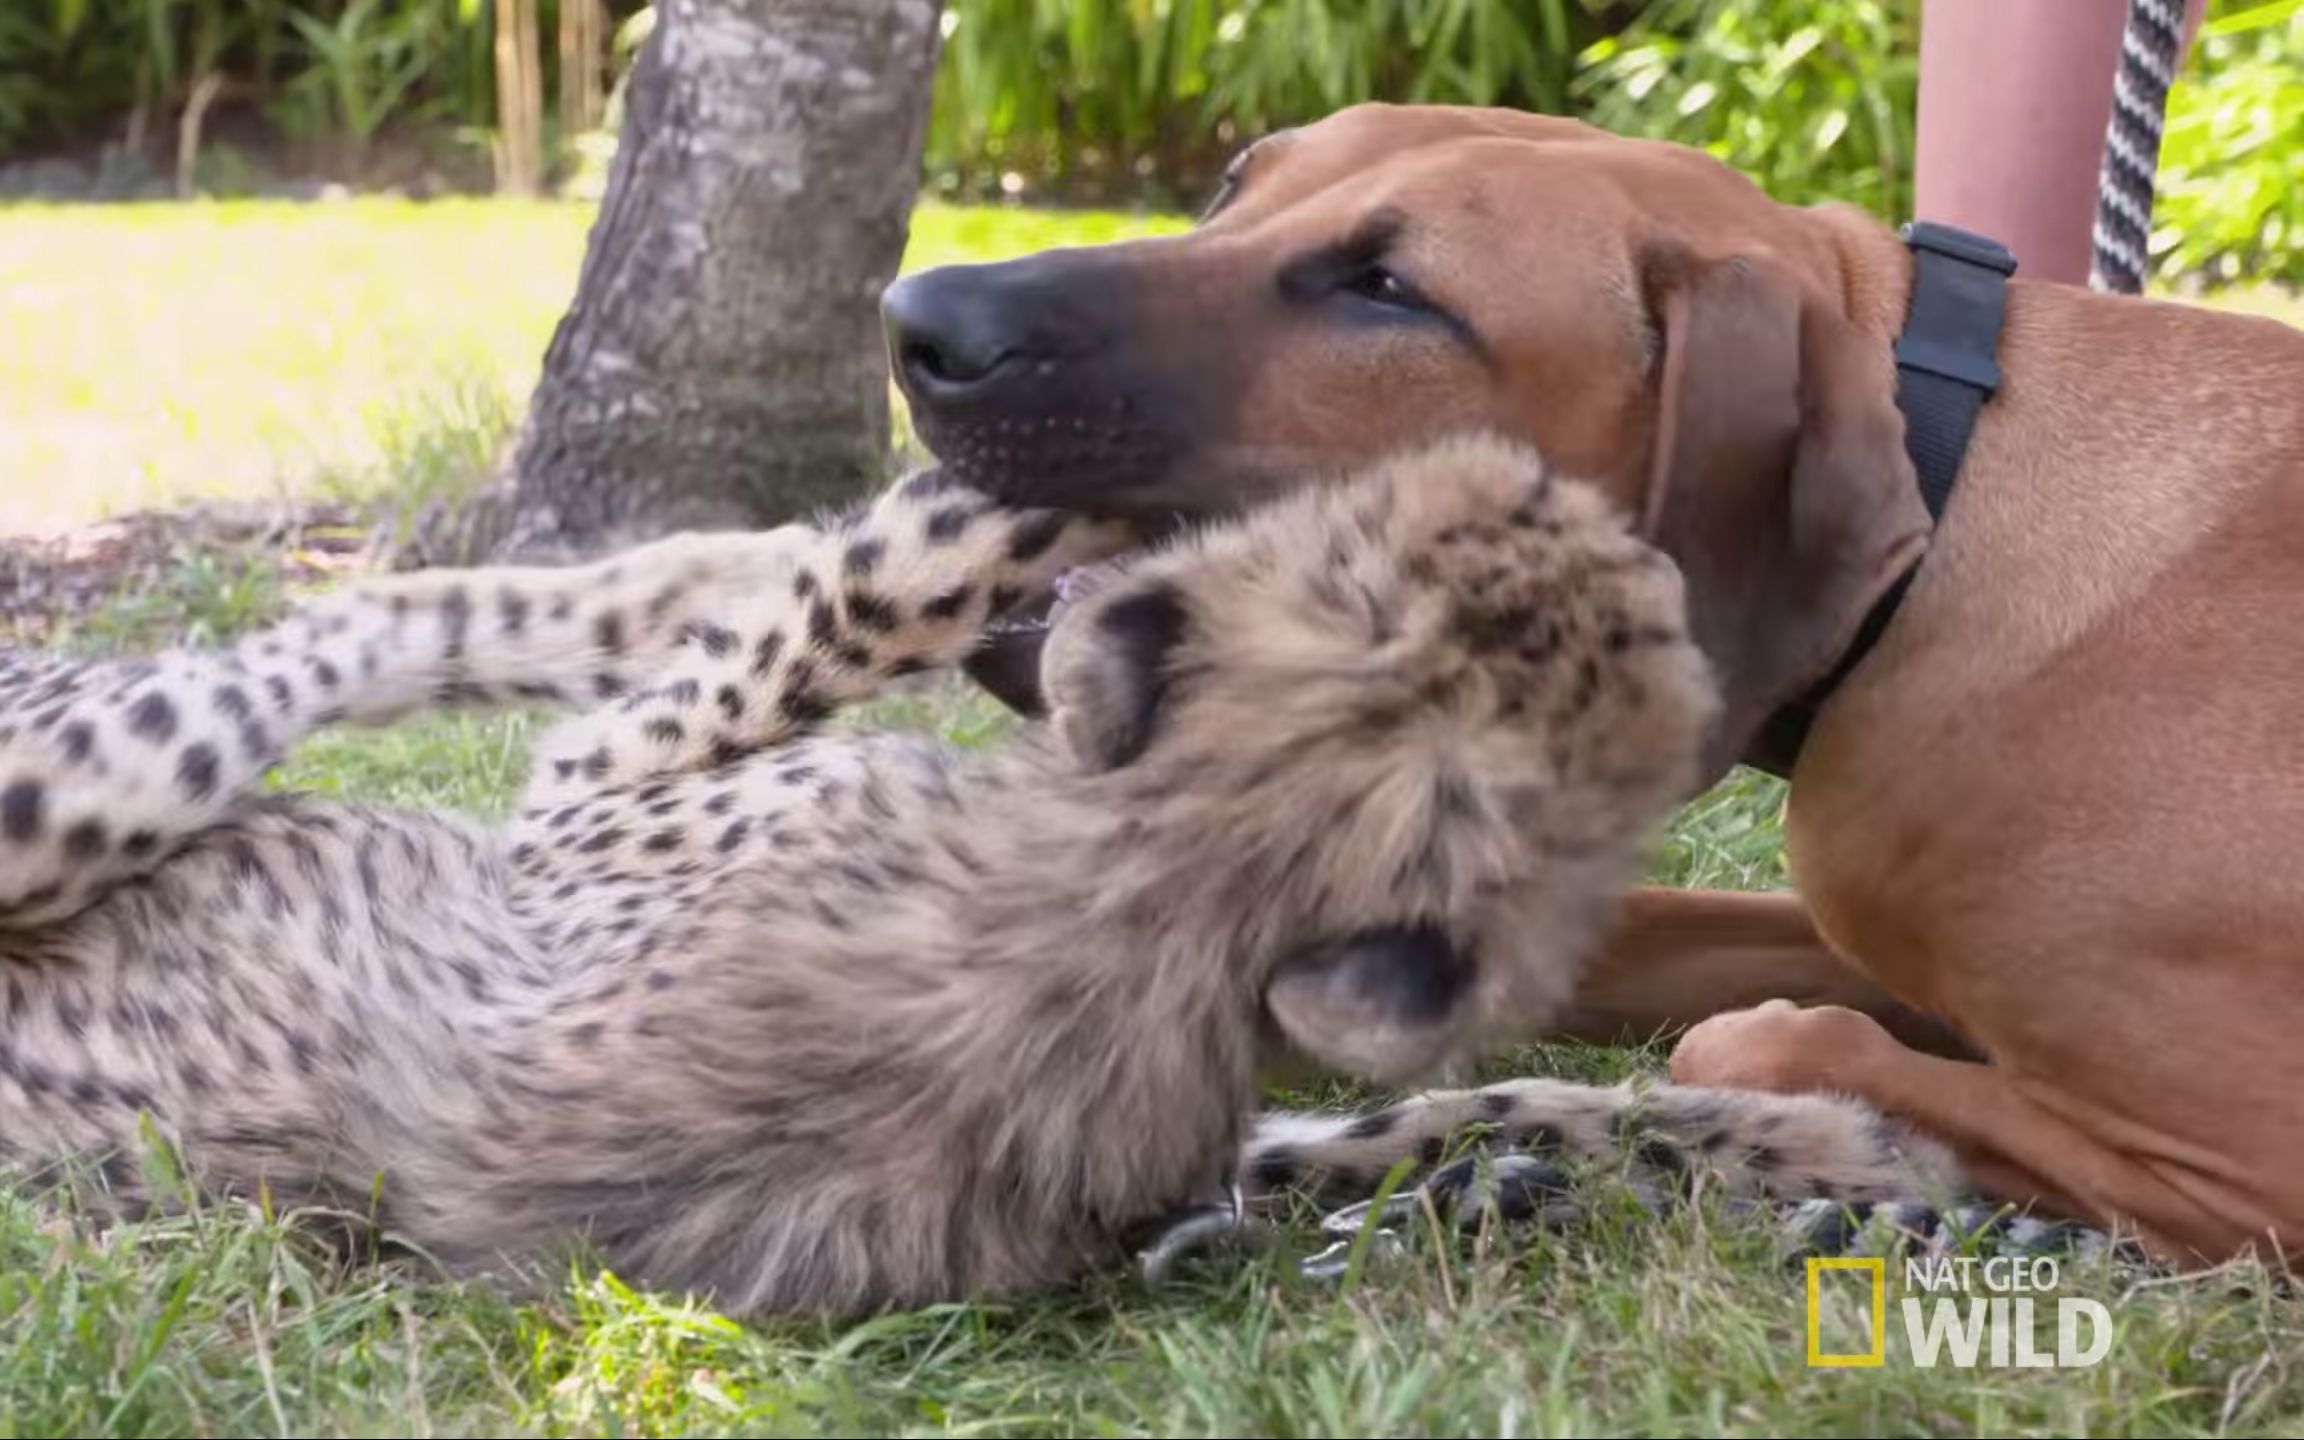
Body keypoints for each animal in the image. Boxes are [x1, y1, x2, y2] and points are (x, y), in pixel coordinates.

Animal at [875, 103, 2304, 1271]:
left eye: (1387, 290)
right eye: (1234, 187)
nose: (916, 321)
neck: (1945, 533)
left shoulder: (2238, 1164)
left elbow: (1751, 1038)